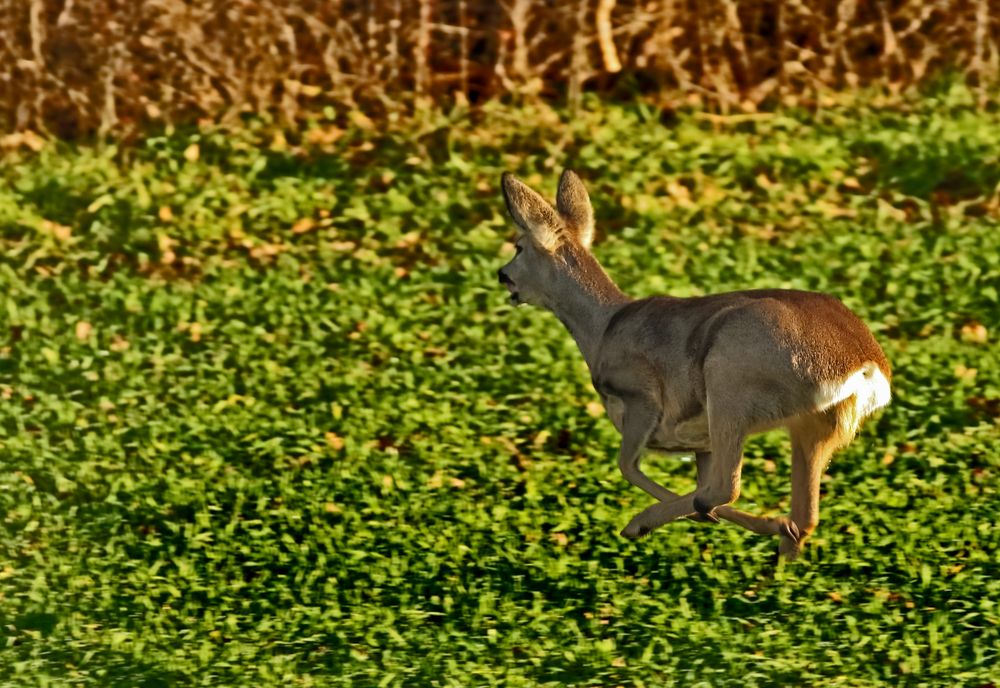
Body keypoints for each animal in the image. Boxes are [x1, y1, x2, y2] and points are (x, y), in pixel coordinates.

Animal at [496, 168, 896, 560]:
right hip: (814, 424)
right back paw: (783, 549)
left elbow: (628, 466)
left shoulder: (642, 396)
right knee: (803, 513)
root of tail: (865, 366)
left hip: (729, 381)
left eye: (518, 246)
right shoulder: (701, 442)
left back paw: (649, 523)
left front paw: (644, 525)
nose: (501, 274)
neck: (603, 328)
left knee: (723, 489)